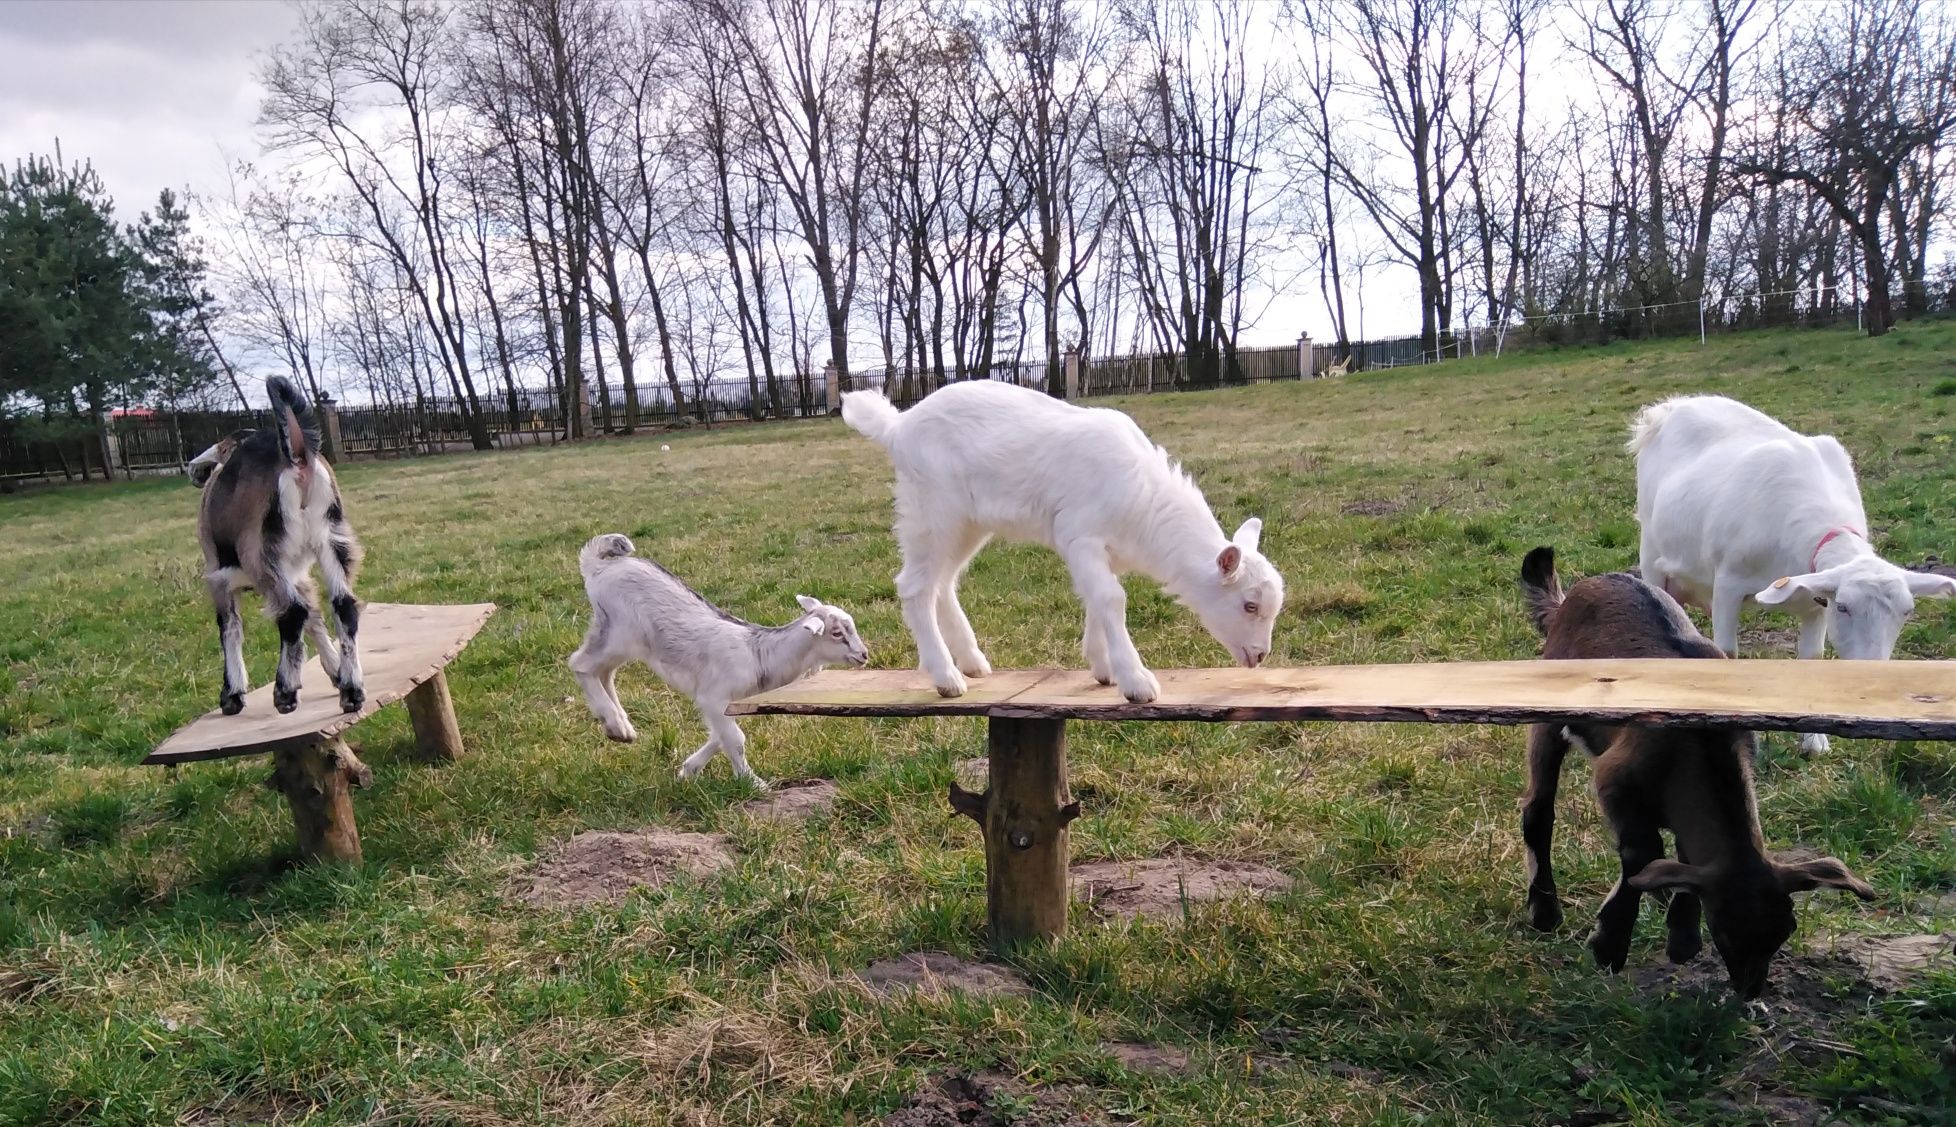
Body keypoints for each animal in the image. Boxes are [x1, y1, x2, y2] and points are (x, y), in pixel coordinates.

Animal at [196, 375, 367, 712]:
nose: (197, 470)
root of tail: (297, 456)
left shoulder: (218, 577)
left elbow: (229, 627)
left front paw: (231, 695)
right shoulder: (298, 575)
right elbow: (315, 617)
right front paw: (334, 673)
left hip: (262, 554)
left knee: (292, 612)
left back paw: (285, 691)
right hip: (332, 540)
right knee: (343, 605)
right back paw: (352, 690)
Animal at [1517, 547, 1869, 993]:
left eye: (1785, 930)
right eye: (1727, 931)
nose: (1750, 990)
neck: (1699, 747)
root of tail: (1576, 594)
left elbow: (1682, 855)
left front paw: (1682, 935)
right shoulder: (1615, 777)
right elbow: (1642, 852)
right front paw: (1610, 943)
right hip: (1549, 720)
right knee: (1538, 807)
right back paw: (1545, 910)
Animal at [1627, 391, 1948, 751]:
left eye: (1907, 612)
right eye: (1843, 607)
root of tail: (1666, 409)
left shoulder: (1815, 600)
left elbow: (1812, 657)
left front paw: (1815, 740)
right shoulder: (1728, 583)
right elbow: (1728, 652)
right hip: (1652, 551)